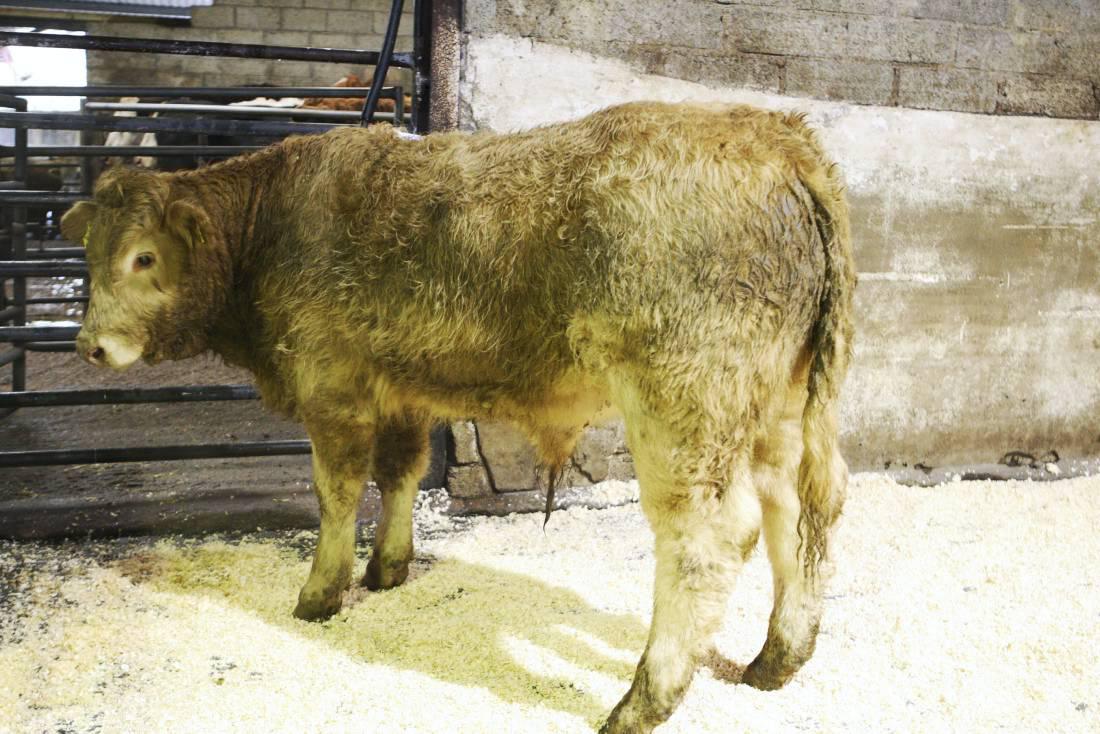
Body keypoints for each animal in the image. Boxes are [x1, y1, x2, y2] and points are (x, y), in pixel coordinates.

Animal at [60, 101, 855, 732]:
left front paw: (321, 592)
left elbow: (337, 491)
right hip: (779, 408)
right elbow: (401, 474)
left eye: (143, 257)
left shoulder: (332, 388)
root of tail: (776, 137)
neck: (271, 223)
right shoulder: (401, 392)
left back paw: (642, 701)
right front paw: (387, 568)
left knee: (709, 541)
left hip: (683, 408)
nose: (90, 345)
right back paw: (776, 659)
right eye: (91, 254)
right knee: (798, 509)